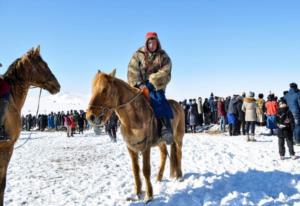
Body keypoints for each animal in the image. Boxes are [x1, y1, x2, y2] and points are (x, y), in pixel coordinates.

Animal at [86, 69, 185, 203]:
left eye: (104, 89)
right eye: (93, 89)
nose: (90, 116)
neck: (133, 119)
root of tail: (178, 105)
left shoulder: (145, 147)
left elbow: (145, 170)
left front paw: (149, 195)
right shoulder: (131, 148)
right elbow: (136, 170)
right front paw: (137, 193)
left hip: (178, 137)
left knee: (178, 154)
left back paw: (179, 175)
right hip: (161, 142)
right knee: (164, 155)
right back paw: (159, 178)